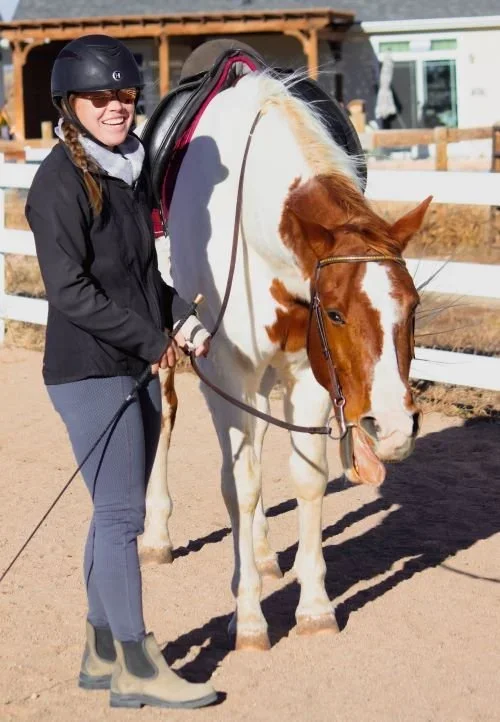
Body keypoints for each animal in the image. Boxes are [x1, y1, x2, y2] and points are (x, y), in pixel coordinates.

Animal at [139, 67, 431, 651]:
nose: (393, 427)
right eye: (336, 313)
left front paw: (314, 607)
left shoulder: (309, 374)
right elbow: (241, 485)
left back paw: (264, 550)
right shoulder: (224, 372)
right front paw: (249, 617)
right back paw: (158, 533)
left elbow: (306, 478)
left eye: (412, 307)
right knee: (169, 420)